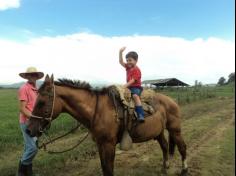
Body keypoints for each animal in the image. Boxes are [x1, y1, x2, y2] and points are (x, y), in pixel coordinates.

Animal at [26, 74, 188, 176]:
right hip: (158, 132)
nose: (29, 130)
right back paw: (165, 168)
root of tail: (171, 101)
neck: (97, 110)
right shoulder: (100, 144)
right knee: (165, 146)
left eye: (41, 102)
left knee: (182, 147)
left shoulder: (109, 144)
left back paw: (184, 170)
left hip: (175, 129)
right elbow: (105, 168)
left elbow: (109, 169)